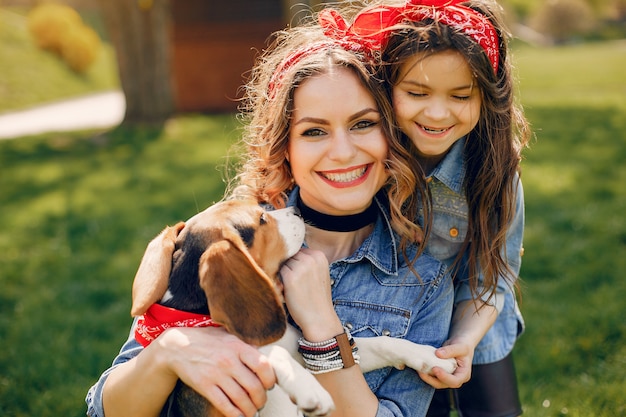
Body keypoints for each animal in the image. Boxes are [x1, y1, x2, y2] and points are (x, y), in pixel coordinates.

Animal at [132, 197, 456, 416]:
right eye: (262, 220)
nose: (298, 210)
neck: (200, 316)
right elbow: (267, 353)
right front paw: (310, 389)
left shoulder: (308, 356)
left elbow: (380, 344)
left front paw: (430, 358)